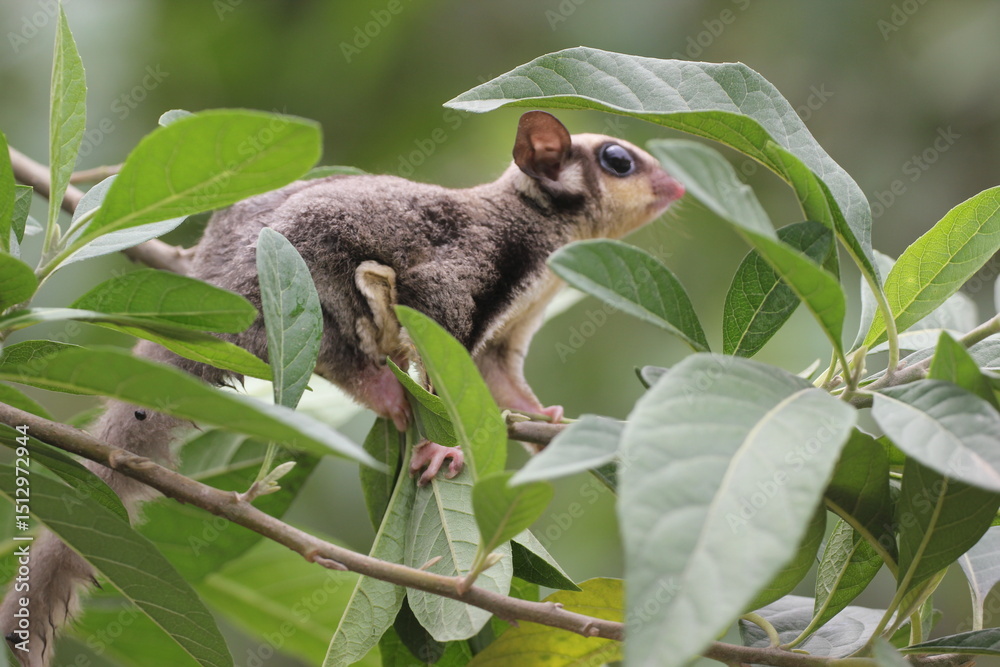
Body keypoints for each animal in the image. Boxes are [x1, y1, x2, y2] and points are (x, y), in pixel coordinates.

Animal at [2, 110, 683, 666]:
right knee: (332, 329)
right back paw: (382, 390)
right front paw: (445, 444)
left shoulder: (512, 322)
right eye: (618, 161)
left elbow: (495, 374)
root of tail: (210, 280)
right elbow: (435, 314)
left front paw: (545, 420)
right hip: (277, 285)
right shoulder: (475, 260)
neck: (543, 232)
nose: (679, 186)